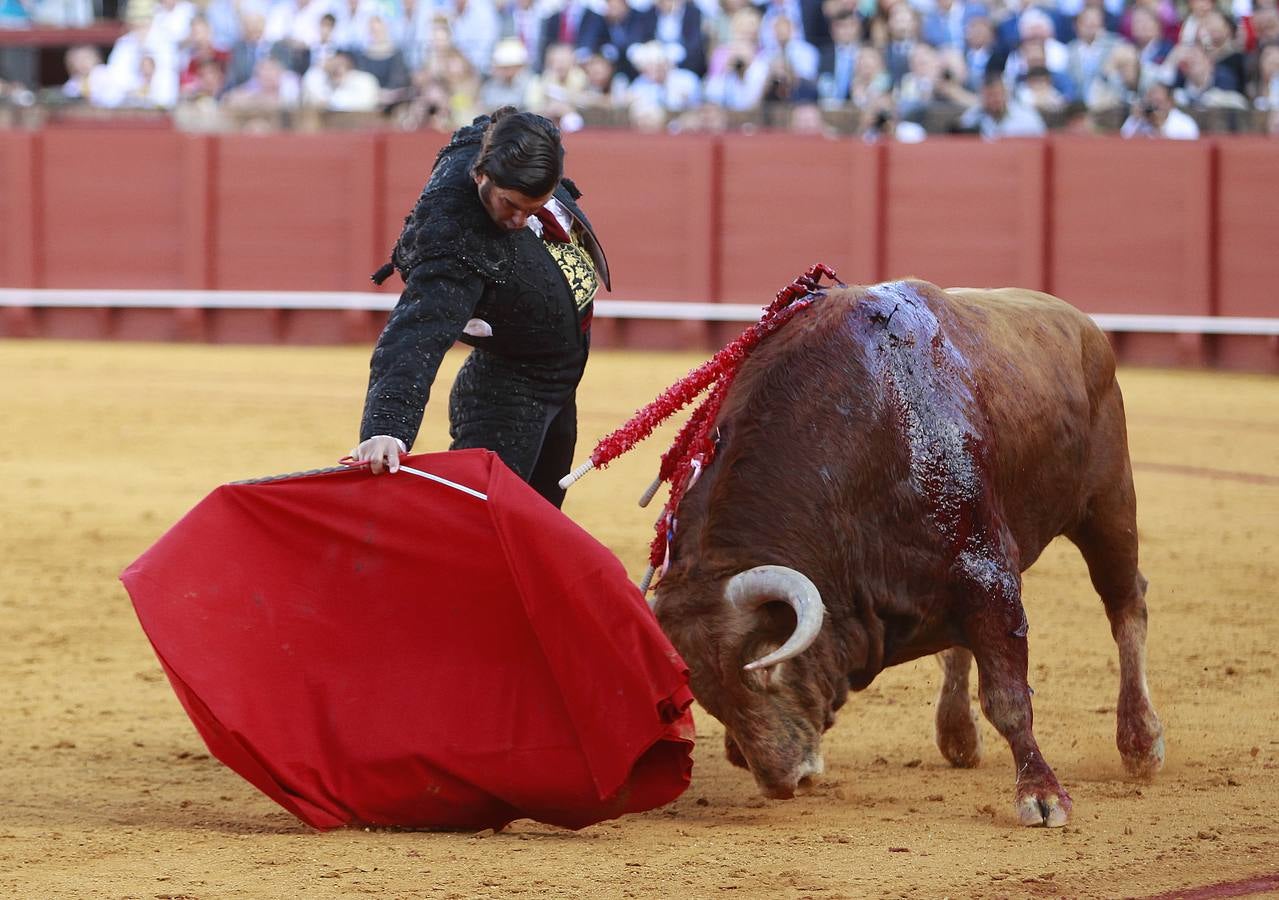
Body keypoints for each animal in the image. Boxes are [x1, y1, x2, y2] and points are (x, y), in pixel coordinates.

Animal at [654, 277, 1166, 828]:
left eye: (768, 665)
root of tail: (1082, 324)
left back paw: (1141, 743)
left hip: (1108, 505)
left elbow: (1007, 696)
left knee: (1126, 604)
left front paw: (1043, 795)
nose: (781, 782)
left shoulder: (988, 573)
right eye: (707, 694)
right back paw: (959, 736)